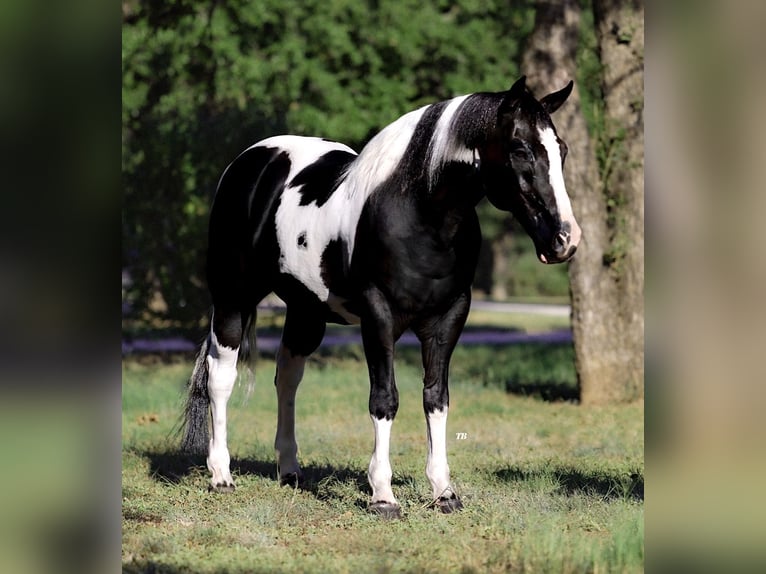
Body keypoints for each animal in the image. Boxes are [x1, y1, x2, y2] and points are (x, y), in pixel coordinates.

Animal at [183, 74, 584, 520]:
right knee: (221, 378)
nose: (565, 239)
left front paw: (443, 491)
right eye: (519, 149)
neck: (418, 212)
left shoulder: (449, 318)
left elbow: (436, 399)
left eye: (561, 149)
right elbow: (385, 399)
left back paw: (289, 471)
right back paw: (221, 475)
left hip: (306, 312)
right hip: (233, 298)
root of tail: (249, 161)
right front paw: (383, 495)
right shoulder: (379, 316)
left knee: (287, 378)